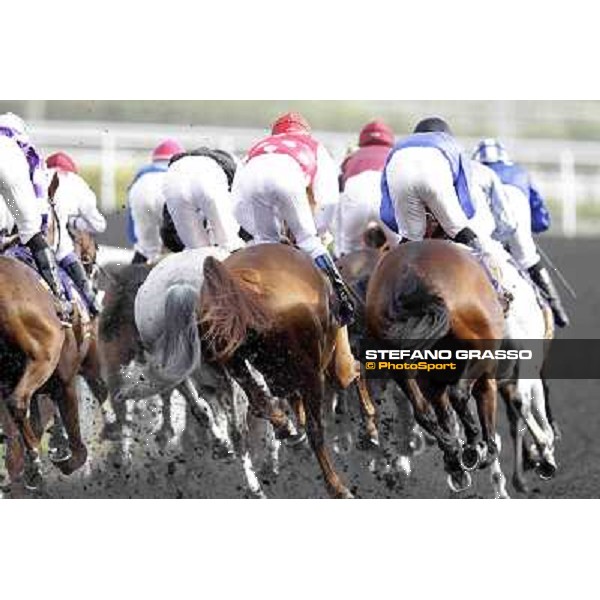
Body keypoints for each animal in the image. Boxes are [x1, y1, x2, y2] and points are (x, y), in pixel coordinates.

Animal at [199, 243, 376, 496]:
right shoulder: (317, 368)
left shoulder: (280, 374)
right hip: (320, 369)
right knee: (326, 410)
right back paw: (337, 485)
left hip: (244, 365)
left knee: (261, 403)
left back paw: (287, 429)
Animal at [366, 238, 506, 492]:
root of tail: (412, 275)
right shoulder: (486, 374)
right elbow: (483, 407)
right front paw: (484, 450)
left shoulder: (431, 383)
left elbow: (443, 416)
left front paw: (454, 460)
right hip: (482, 350)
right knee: (459, 393)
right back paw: (472, 447)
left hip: (400, 366)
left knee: (424, 412)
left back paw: (453, 451)